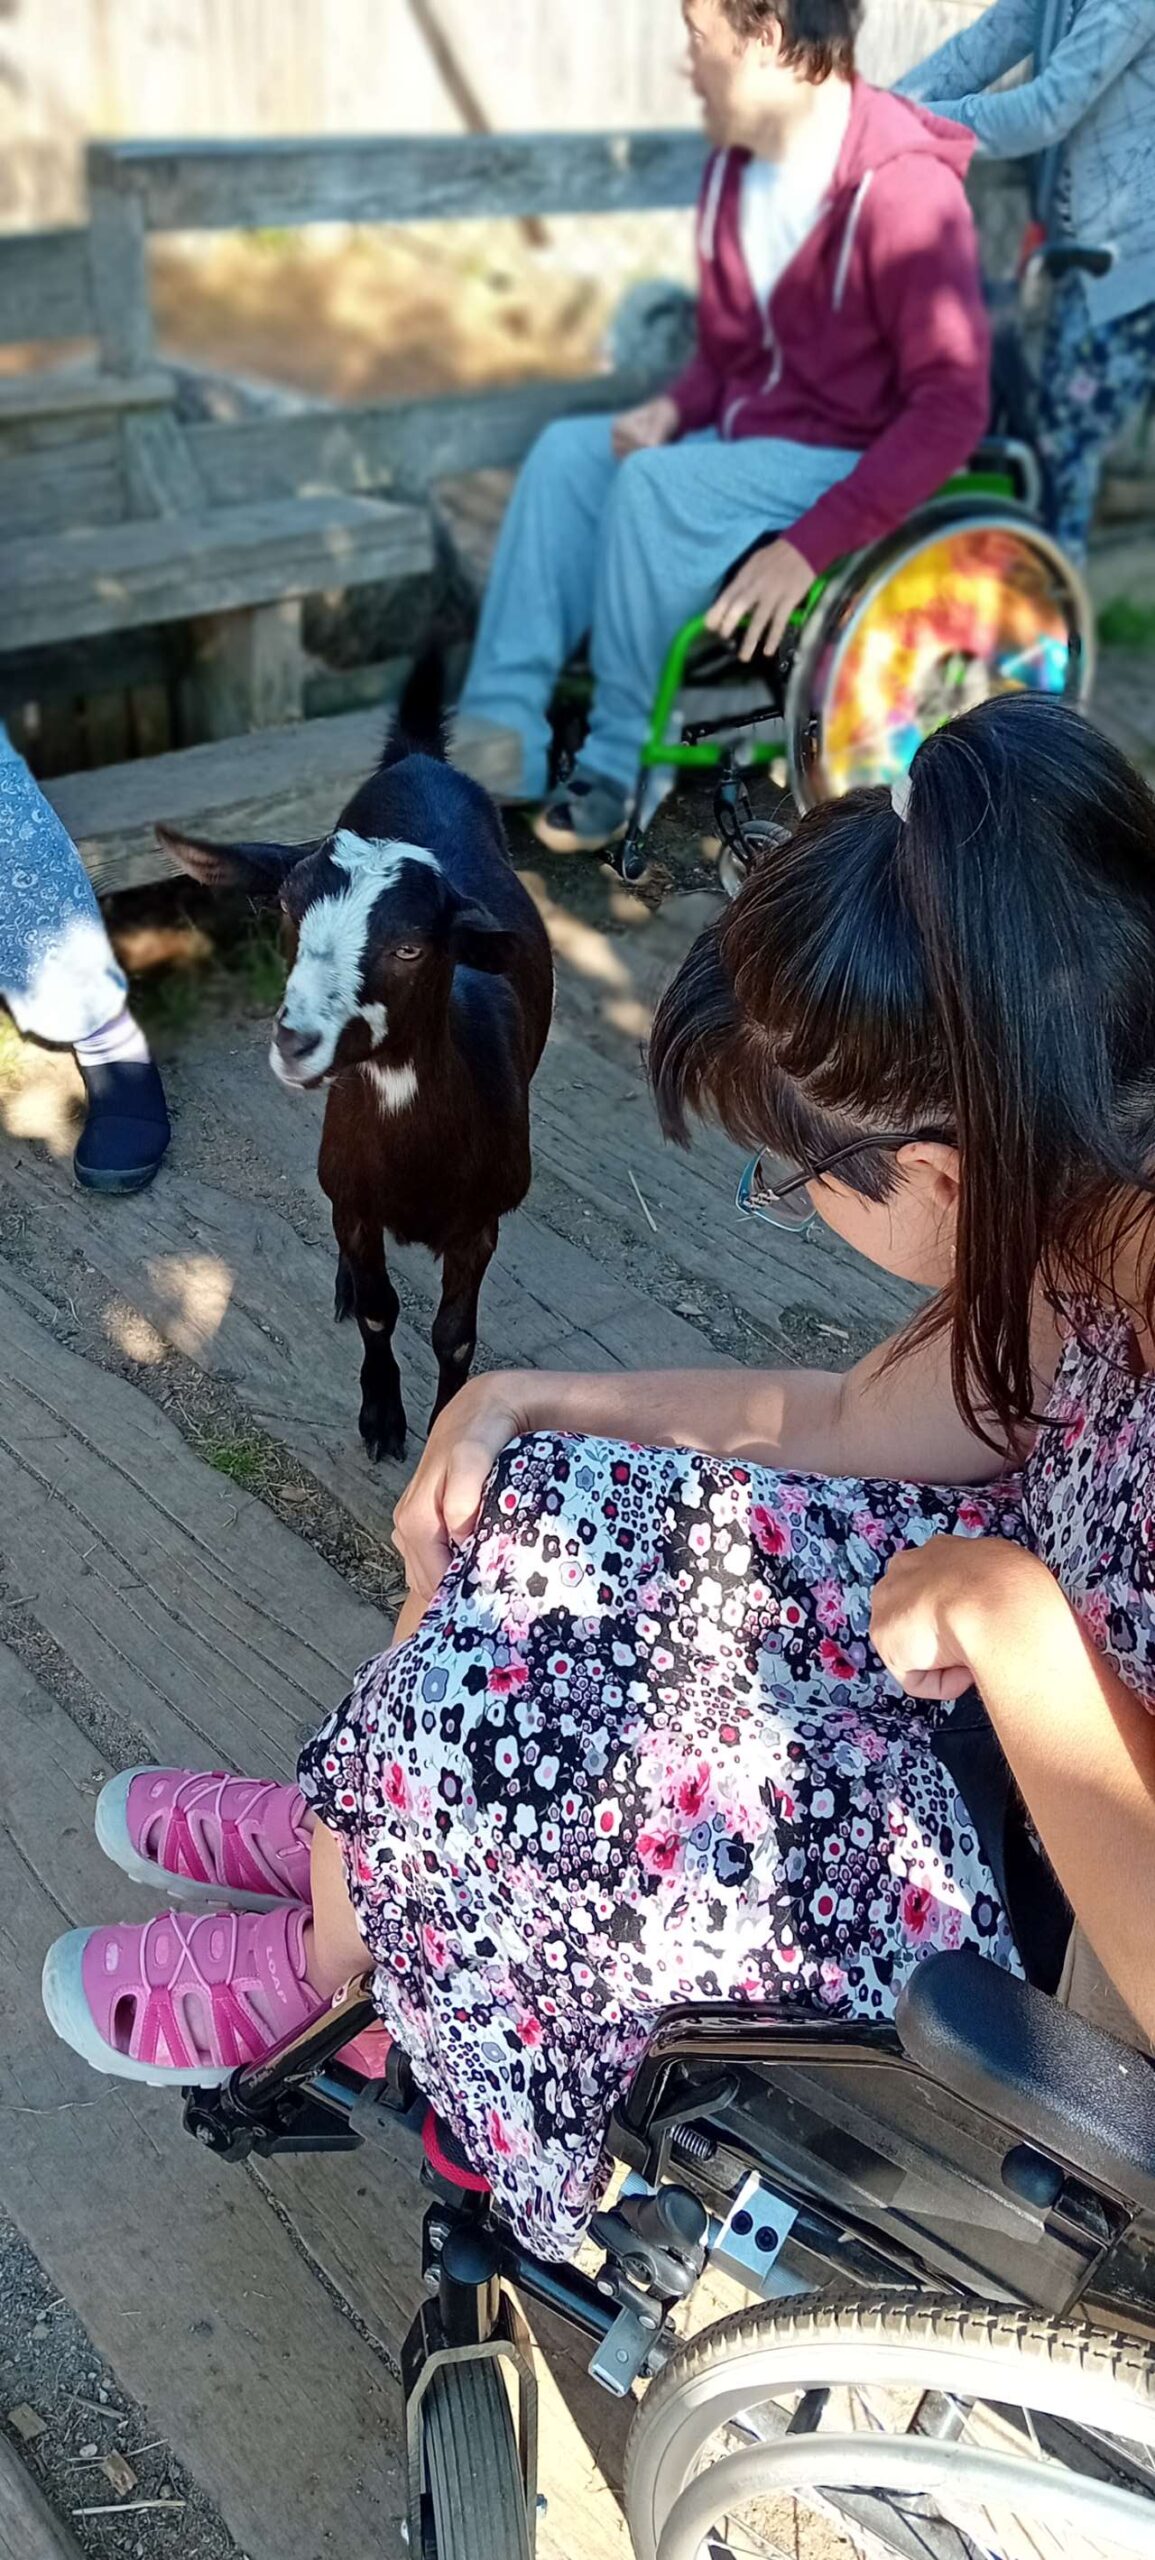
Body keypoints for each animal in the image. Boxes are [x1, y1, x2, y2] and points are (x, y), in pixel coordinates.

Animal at [159, 657, 554, 1463]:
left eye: (410, 947)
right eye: (286, 911)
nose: (296, 1040)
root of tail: (419, 757)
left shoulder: (481, 1223)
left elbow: (454, 1337)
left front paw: (442, 1428)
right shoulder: (355, 1197)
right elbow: (379, 1309)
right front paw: (380, 1416)